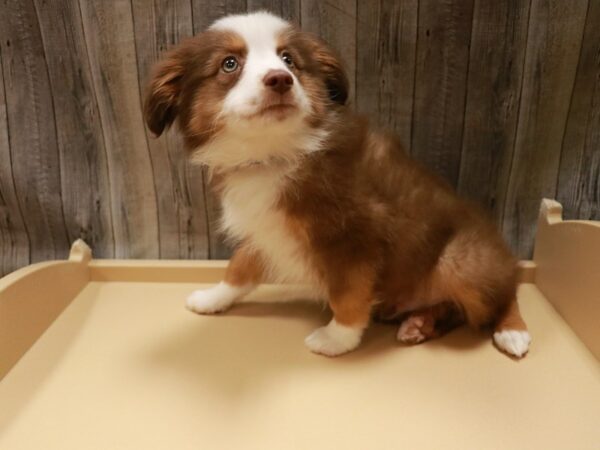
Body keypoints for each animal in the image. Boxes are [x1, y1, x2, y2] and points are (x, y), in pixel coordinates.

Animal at [144, 11, 528, 358]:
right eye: (229, 64)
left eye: (289, 59)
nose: (280, 79)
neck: (275, 153)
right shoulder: (265, 229)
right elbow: (239, 267)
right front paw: (213, 298)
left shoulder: (356, 237)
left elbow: (348, 293)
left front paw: (337, 338)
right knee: (456, 309)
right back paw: (420, 324)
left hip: (459, 259)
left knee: (504, 292)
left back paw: (512, 330)